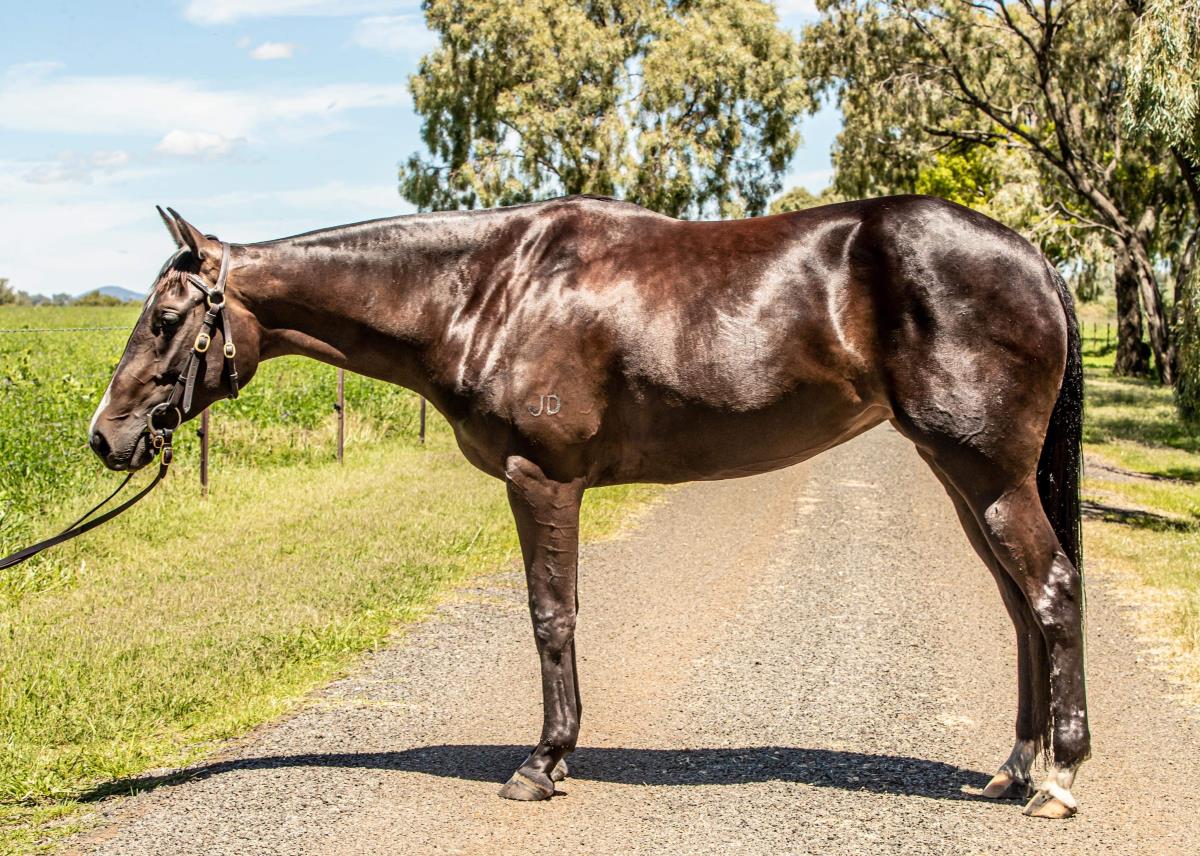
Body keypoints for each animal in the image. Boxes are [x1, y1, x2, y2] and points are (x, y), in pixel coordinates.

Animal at [89, 195, 1087, 818]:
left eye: (168, 320)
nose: (105, 437)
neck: (486, 289)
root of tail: (1035, 256)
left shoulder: (542, 478)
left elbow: (551, 615)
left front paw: (543, 762)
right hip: (964, 478)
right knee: (1019, 609)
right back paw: (1013, 769)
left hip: (988, 476)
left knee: (1052, 594)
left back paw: (1060, 777)